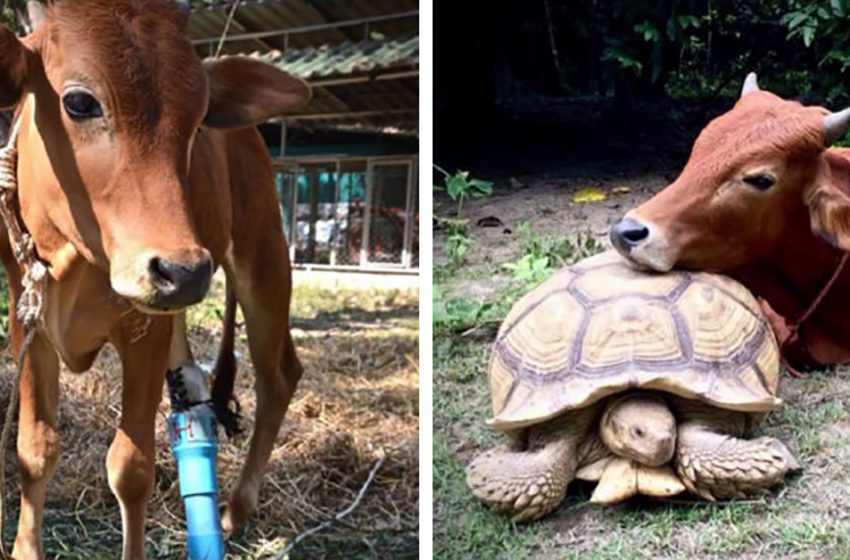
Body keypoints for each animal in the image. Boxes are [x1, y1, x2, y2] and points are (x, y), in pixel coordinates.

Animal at [0, 2, 308, 556]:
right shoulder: (26, 313)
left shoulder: (145, 329)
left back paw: (236, 508)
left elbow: (131, 467)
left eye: (200, 117)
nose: (183, 272)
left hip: (263, 254)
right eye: (79, 102)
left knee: (279, 373)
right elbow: (35, 449)